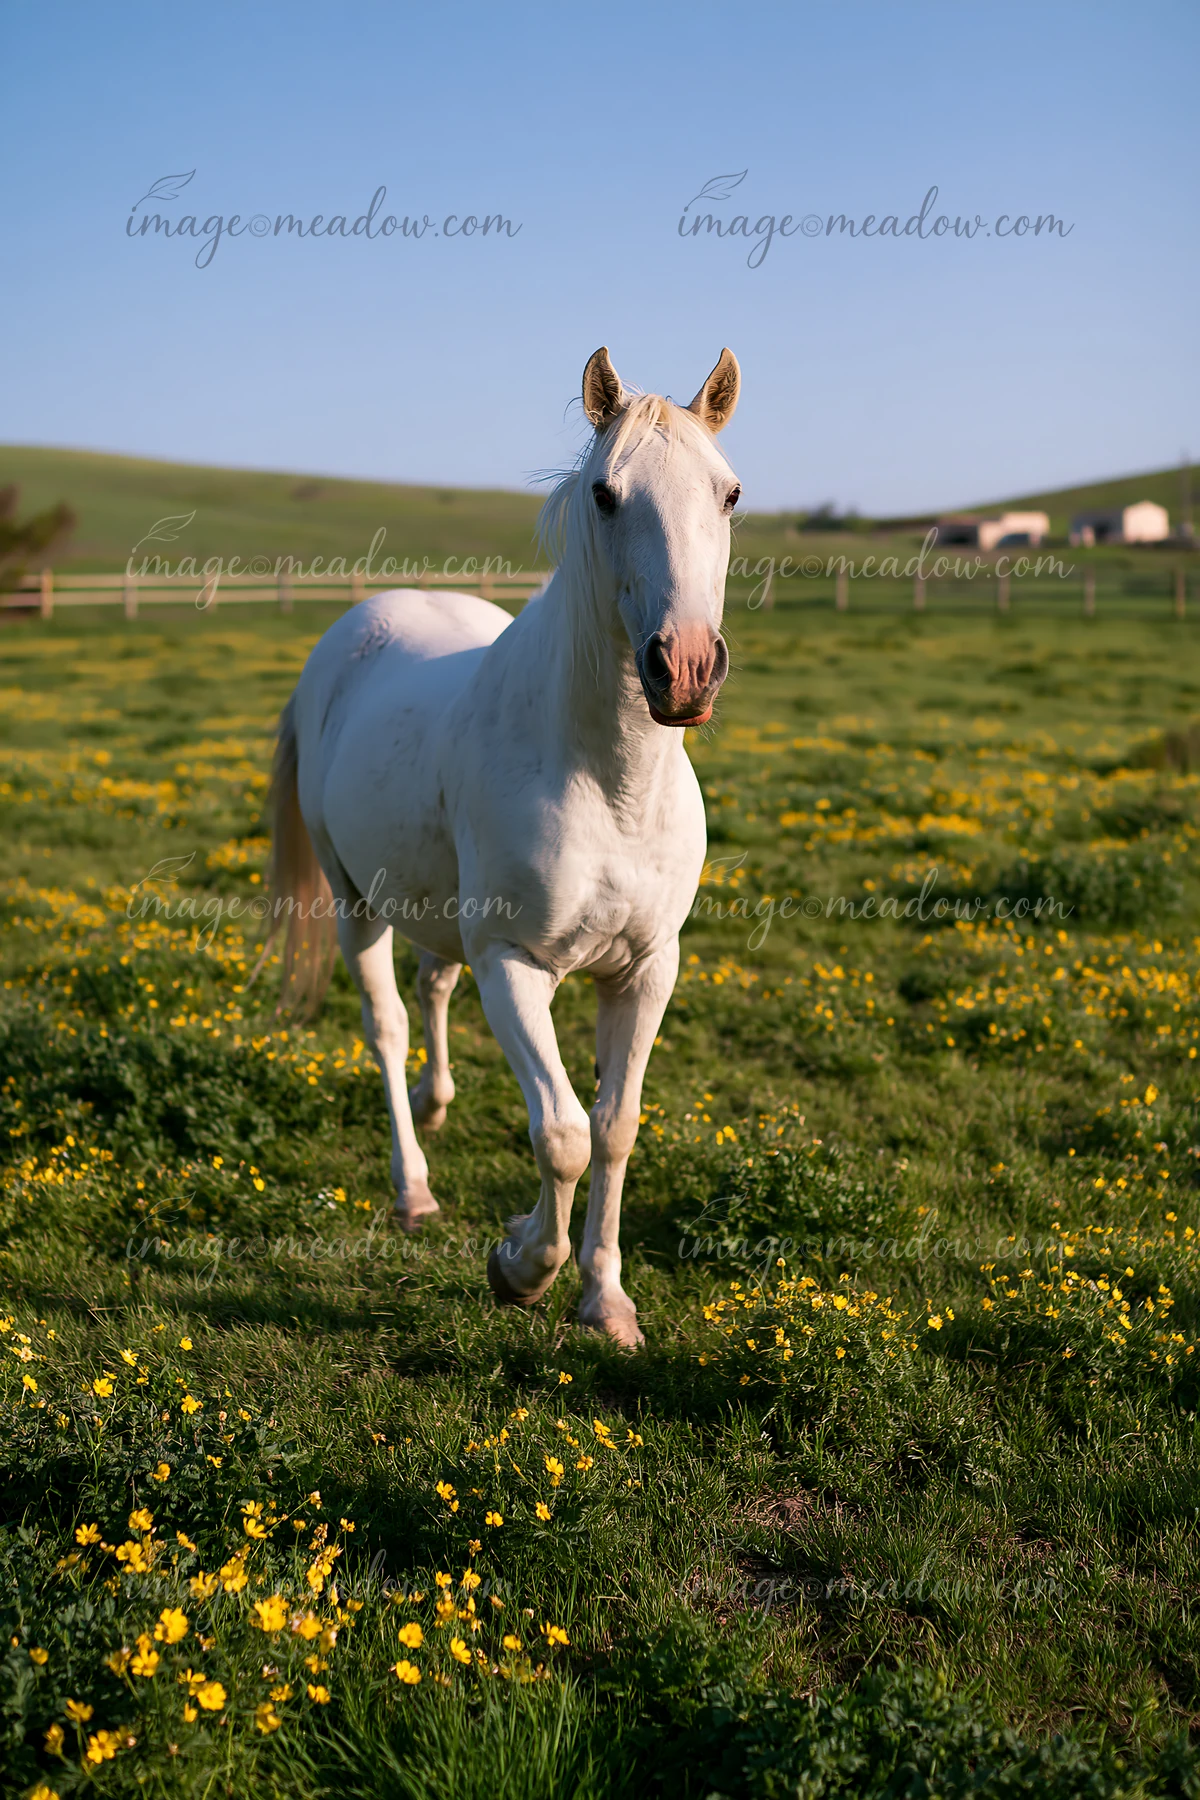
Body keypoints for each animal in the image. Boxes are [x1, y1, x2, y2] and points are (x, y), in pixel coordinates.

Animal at [263, 345, 741, 1346]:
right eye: (605, 494)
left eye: (729, 494)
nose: (683, 669)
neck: (608, 782)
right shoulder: (514, 964)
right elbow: (560, 1133)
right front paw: (520, 1265)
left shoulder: (646, 969)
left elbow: (614, 1126)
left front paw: (607, 1302)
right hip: (355, 902)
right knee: (387, 1021)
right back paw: (413, 1189)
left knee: (431, 988)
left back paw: (439, 1105)